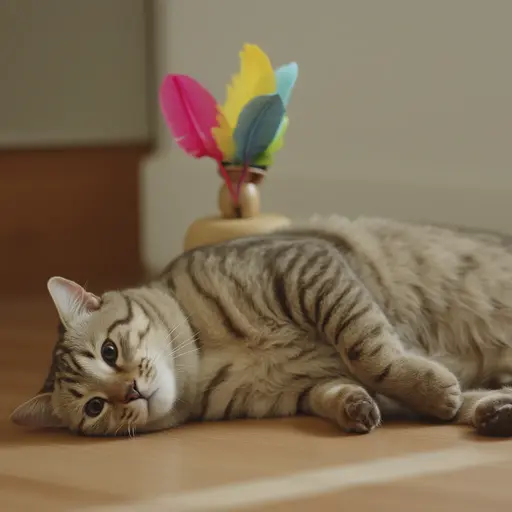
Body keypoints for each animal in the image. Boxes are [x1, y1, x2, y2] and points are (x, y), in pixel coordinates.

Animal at [9, 216, 512, 436]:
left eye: (109, 352)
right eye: (94, 407)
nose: (130, 391)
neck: (205, 360)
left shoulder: (306, 266)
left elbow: (371, 353)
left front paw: (433, 391)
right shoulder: (303, 389)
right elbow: (338, 391)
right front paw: (358, 408)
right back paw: (495, 413)